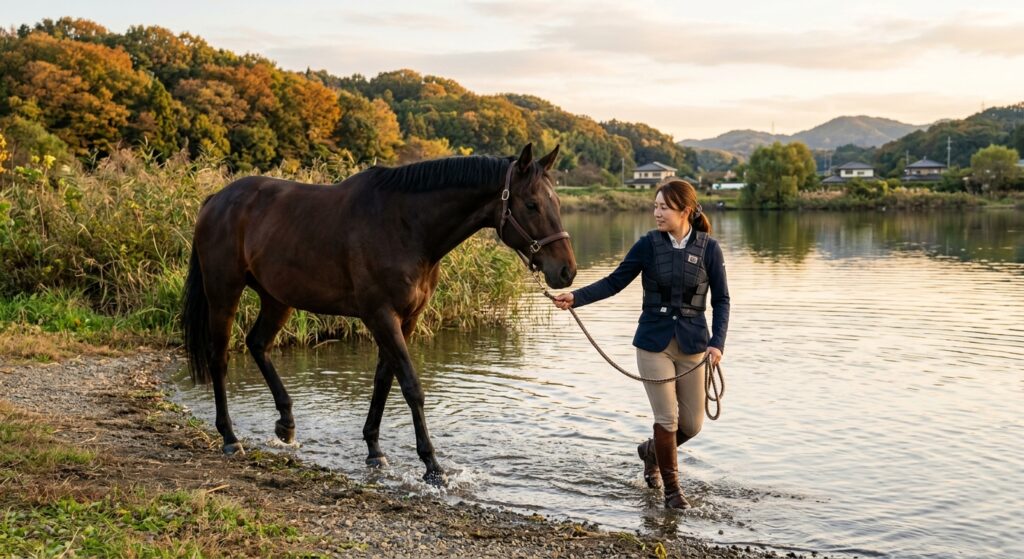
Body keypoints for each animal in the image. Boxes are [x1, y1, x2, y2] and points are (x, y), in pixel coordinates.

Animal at [181, 143, 576, 483]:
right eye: (531, 204)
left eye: (556, 202)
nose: (566, 271)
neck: (404, 225)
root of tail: (217, 199)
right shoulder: (381, 316)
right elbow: (411, 385)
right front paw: (432, 466)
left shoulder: (407, 318)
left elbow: (384, 380)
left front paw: (374, 450)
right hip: (224, 293)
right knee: (219, 358)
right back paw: (230, 437)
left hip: (277, 298)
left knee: (258, 345)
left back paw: (286, 423)